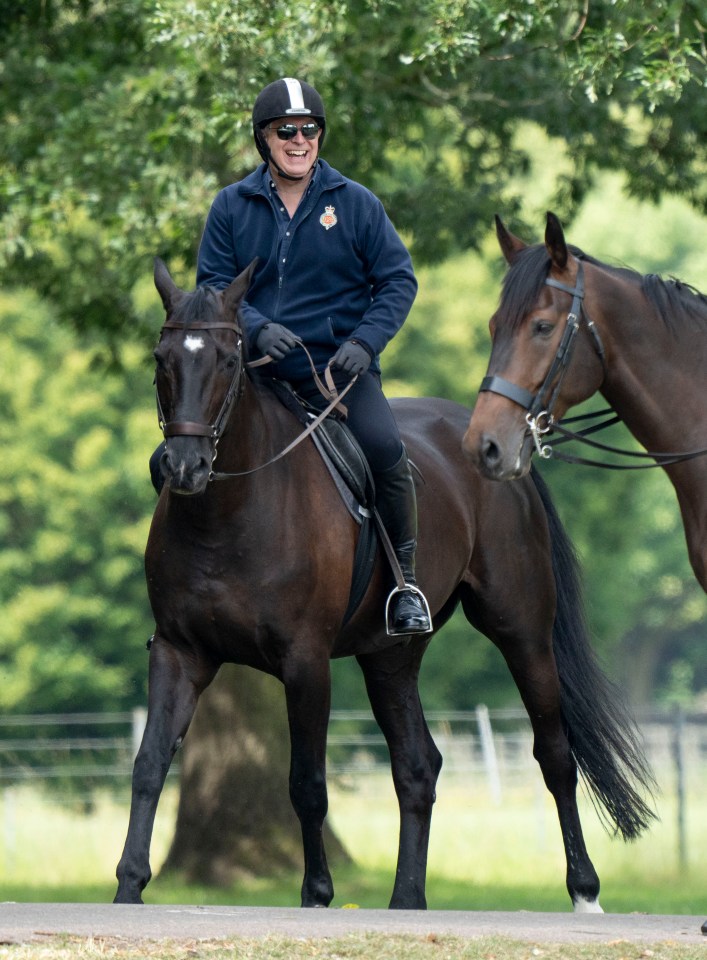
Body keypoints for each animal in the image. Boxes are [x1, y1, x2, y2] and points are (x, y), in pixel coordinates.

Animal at [113, 258, 656, 912]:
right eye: (161, 357)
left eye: (225, 360)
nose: (184, 467)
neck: (231, 509)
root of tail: (505, 453)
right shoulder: (180, 651)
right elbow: (149, 763)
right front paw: (129, 885)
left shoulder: (305, 660)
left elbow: (307, 782)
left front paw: (317, 893)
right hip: (391, 657)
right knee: (418, 766)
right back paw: (407, 899)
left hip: (522, 632)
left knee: (554, 753)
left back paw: (584, 891)